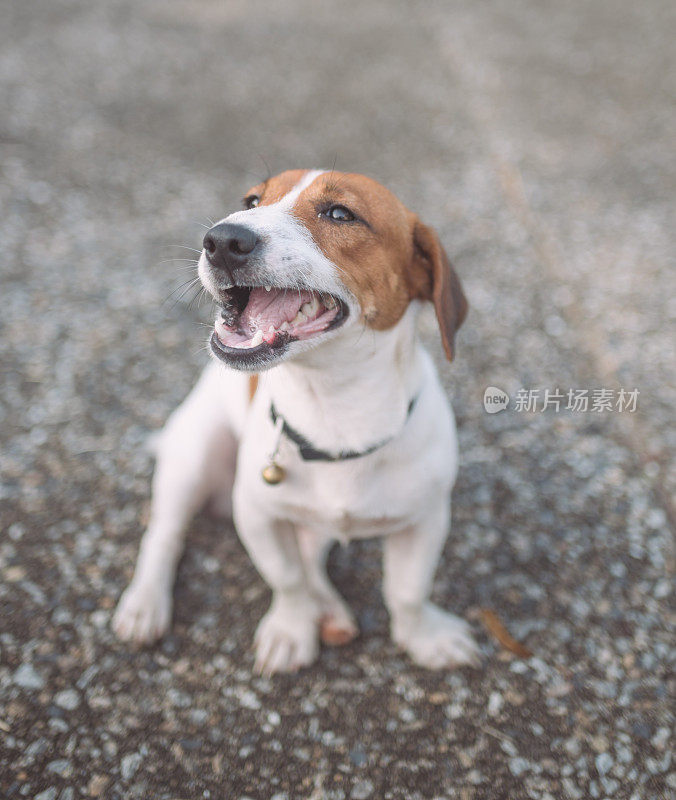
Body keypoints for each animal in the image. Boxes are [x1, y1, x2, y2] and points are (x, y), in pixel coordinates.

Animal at [112, 169, 480, 676]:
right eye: (251, 200)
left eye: (340, 214)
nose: (222, 239)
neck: (334, 407)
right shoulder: (258, 515)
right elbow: (286, 580)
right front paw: (290, 629)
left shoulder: (425, 520)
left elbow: (407, 591)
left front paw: (424, 637)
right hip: (193, 457)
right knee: (164, 535)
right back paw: (145, 604)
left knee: (310, 548)